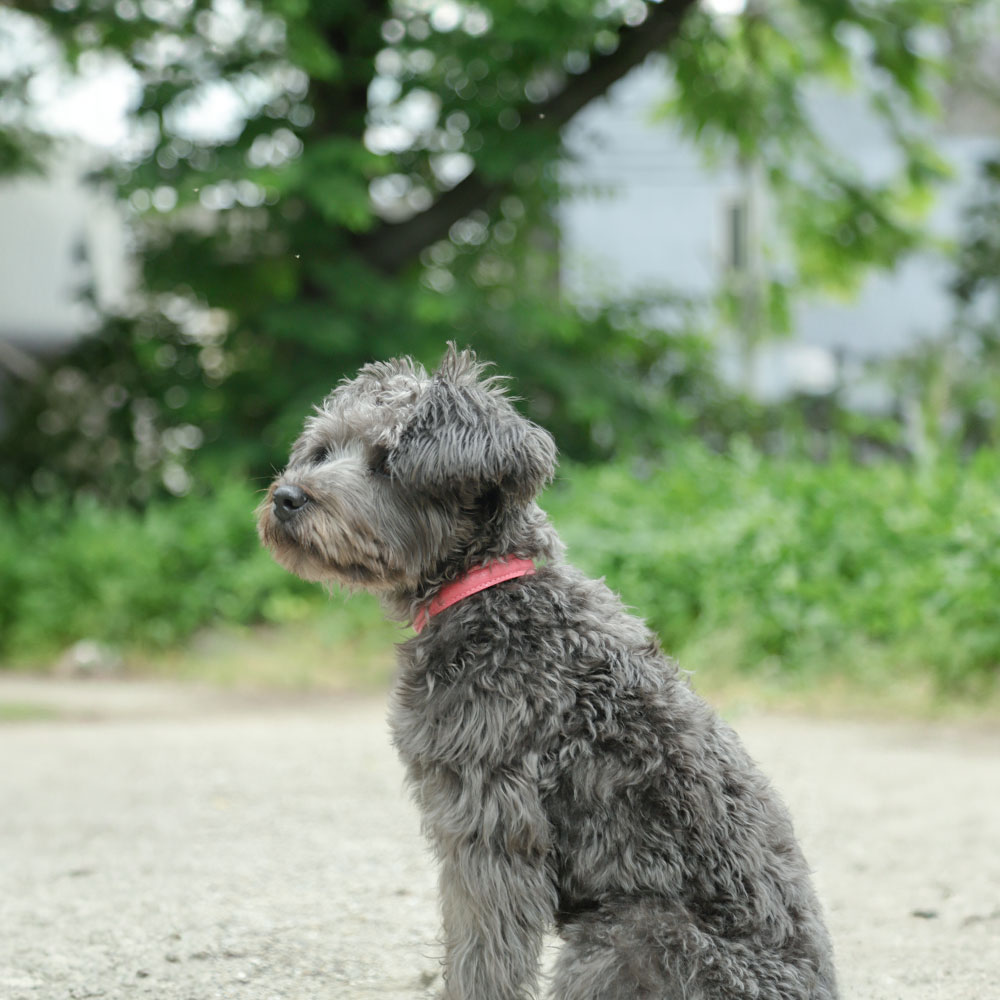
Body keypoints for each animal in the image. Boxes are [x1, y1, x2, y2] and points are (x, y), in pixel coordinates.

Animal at [258, 346, 836, 1000]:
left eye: (385, 461)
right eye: (324, 450)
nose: (287, 497)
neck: (491, 596)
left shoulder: (492, 825)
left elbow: (483, 956)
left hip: (626, 938)